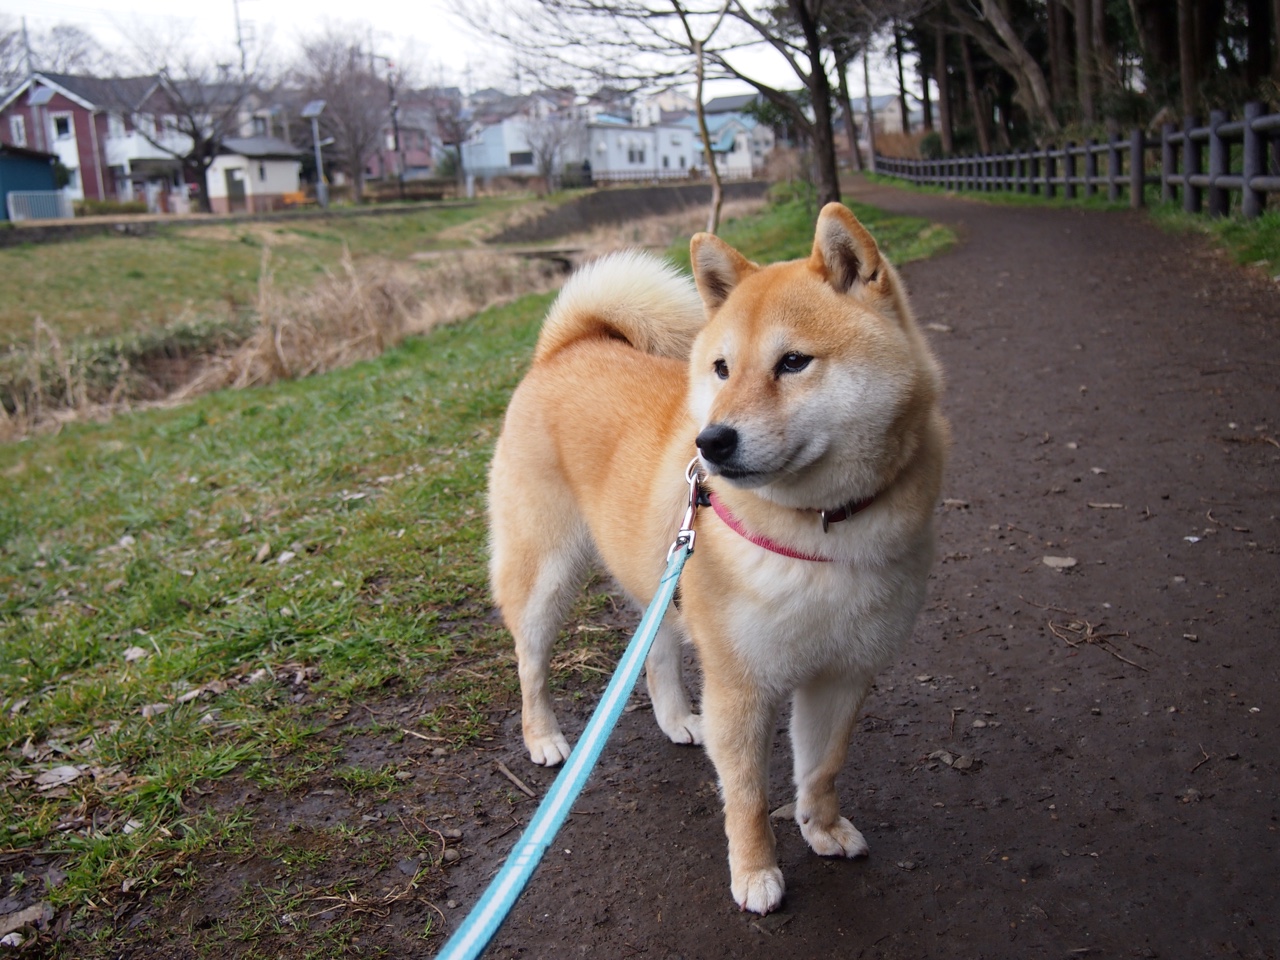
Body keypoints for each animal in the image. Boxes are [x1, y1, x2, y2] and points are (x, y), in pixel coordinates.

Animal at [488, 204, 952, 916]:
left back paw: (680, 718)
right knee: (531, 661)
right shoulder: (742, 685)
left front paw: (822, 828)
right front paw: (756, 873)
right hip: (546, 576)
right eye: (722, 368)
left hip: (663, 581)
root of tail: (568, 347)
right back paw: (542, 737)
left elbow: (821, 769)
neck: (820, 534)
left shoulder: (844, 673)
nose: (711, 442)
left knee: (653, 650)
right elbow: (750, 797)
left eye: (794, 362)